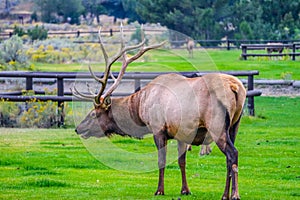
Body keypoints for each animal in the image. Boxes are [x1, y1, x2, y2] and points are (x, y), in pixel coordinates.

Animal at [72, 25, 246, 200]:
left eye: (93, 114)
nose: (78, 128)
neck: (140, 107)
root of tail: (236, 87)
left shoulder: (158, 128)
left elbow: (161, 161)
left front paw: (159, 190)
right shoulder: (181, 133)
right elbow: (181, 161)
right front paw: (185, 189)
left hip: (217, 125)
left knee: (233, 153)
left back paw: (235, 194)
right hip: (234, 125)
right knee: (229, 158)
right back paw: (225, 194)